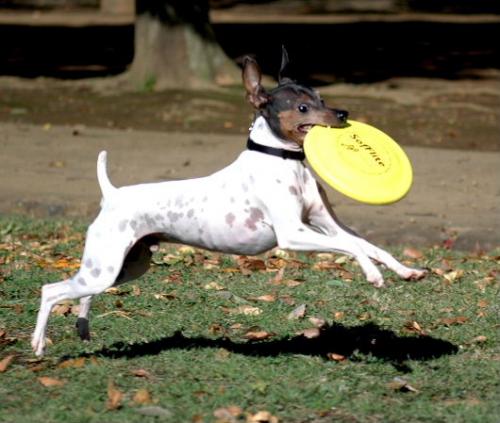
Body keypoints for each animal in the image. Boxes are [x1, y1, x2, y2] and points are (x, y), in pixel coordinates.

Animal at [31, 48, 424, 358]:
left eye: (322, 99)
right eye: (302, 107)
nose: (343, 114)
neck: (284, 161)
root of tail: (112, 194)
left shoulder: (328, 224)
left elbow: (367, 245)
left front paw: (406, 271)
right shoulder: (293, 234)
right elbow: (351, 248)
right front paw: (373, 275)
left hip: (123, 267)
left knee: (82, 293)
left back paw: (82, 327)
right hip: (107, 264)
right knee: (52, 290)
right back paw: (38, 343)